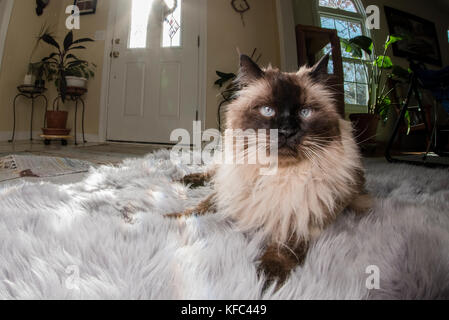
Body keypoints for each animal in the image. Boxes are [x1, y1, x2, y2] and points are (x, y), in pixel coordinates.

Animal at [168, 53, 372, 286]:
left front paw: (268, 277)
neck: (277, 176)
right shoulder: (232, 191)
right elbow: (197, 208)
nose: (287, 131)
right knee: (211, 174)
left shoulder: (306, 212)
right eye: (268, 111)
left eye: (305, 112)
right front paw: (167, 219)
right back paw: (183, 180)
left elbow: (287, 245)